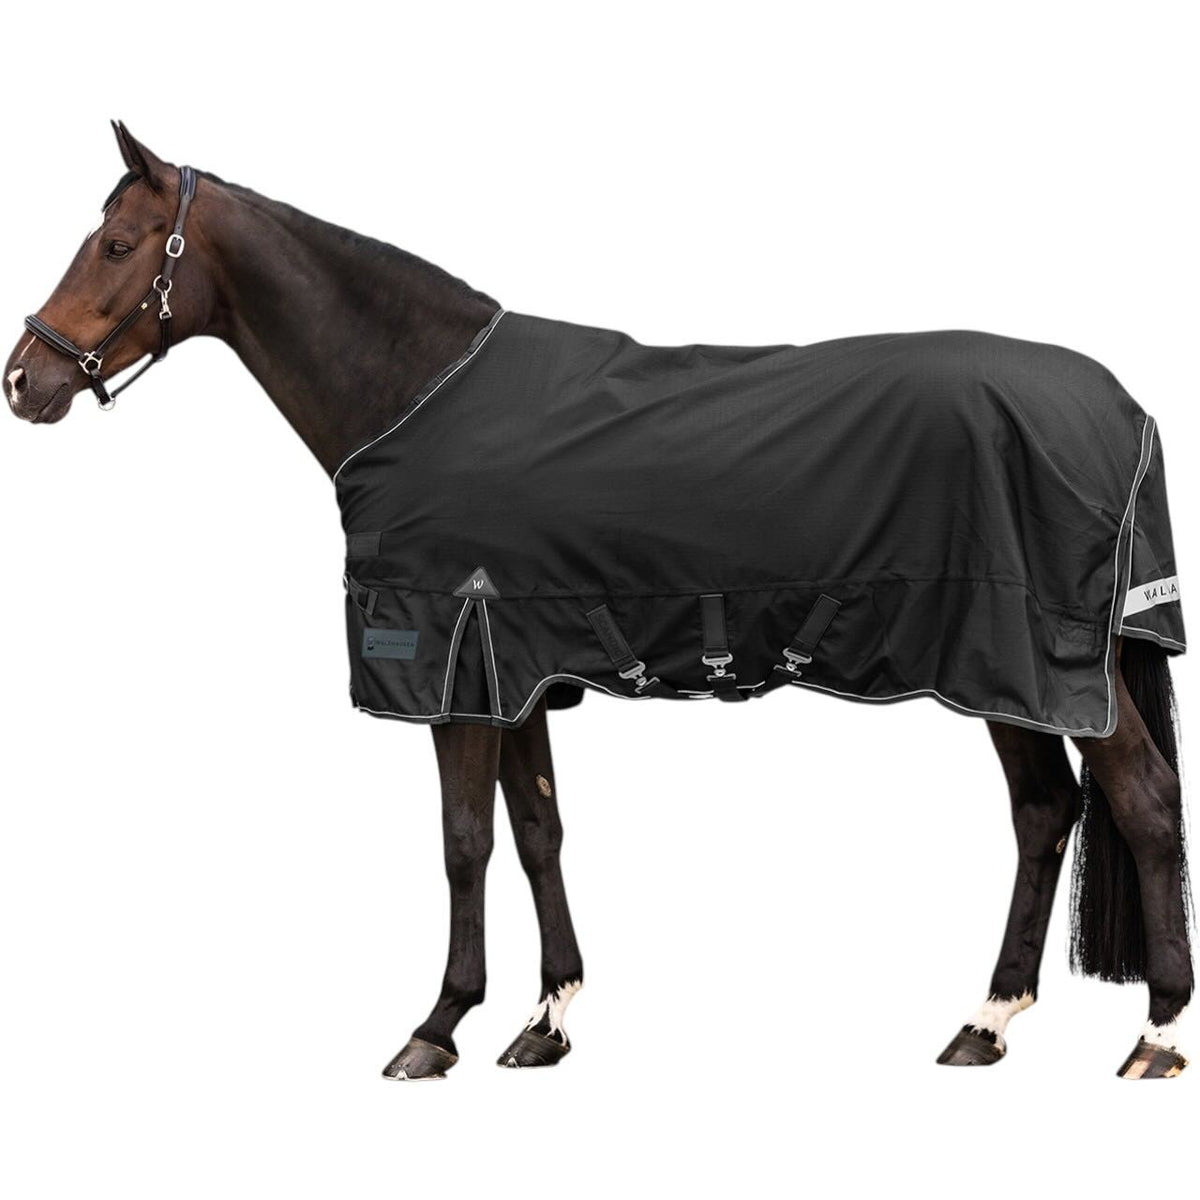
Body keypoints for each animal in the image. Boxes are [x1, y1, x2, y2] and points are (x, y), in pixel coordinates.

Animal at [5, 123, 1191, 1080]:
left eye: (118, 246)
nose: (25, 380)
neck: (416, 391)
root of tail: (1121, 409)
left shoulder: (455, 668)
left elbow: (463, 844)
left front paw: (436, 1028)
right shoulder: (520, 668)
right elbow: (538, 832)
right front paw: (546, 1021)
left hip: (1037, 658)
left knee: (1139, 799)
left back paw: (1156, 1036)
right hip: (1003, 673)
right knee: (1043, 813)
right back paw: (985, 1023)